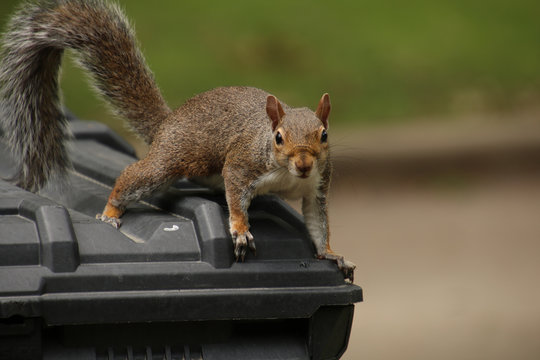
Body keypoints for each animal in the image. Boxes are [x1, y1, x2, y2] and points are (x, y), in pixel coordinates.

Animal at [0, 0, 356, 282]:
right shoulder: (242, 164)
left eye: (324, 135)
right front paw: (241, 231)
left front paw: (331, 253)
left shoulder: (316, 187)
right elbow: (236, 196)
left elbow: (318, 223)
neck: (286, 174)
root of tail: (167, 124)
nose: (304, 163)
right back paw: (111, 212)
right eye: (279, 138)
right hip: (170, 161)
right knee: (133, 177)